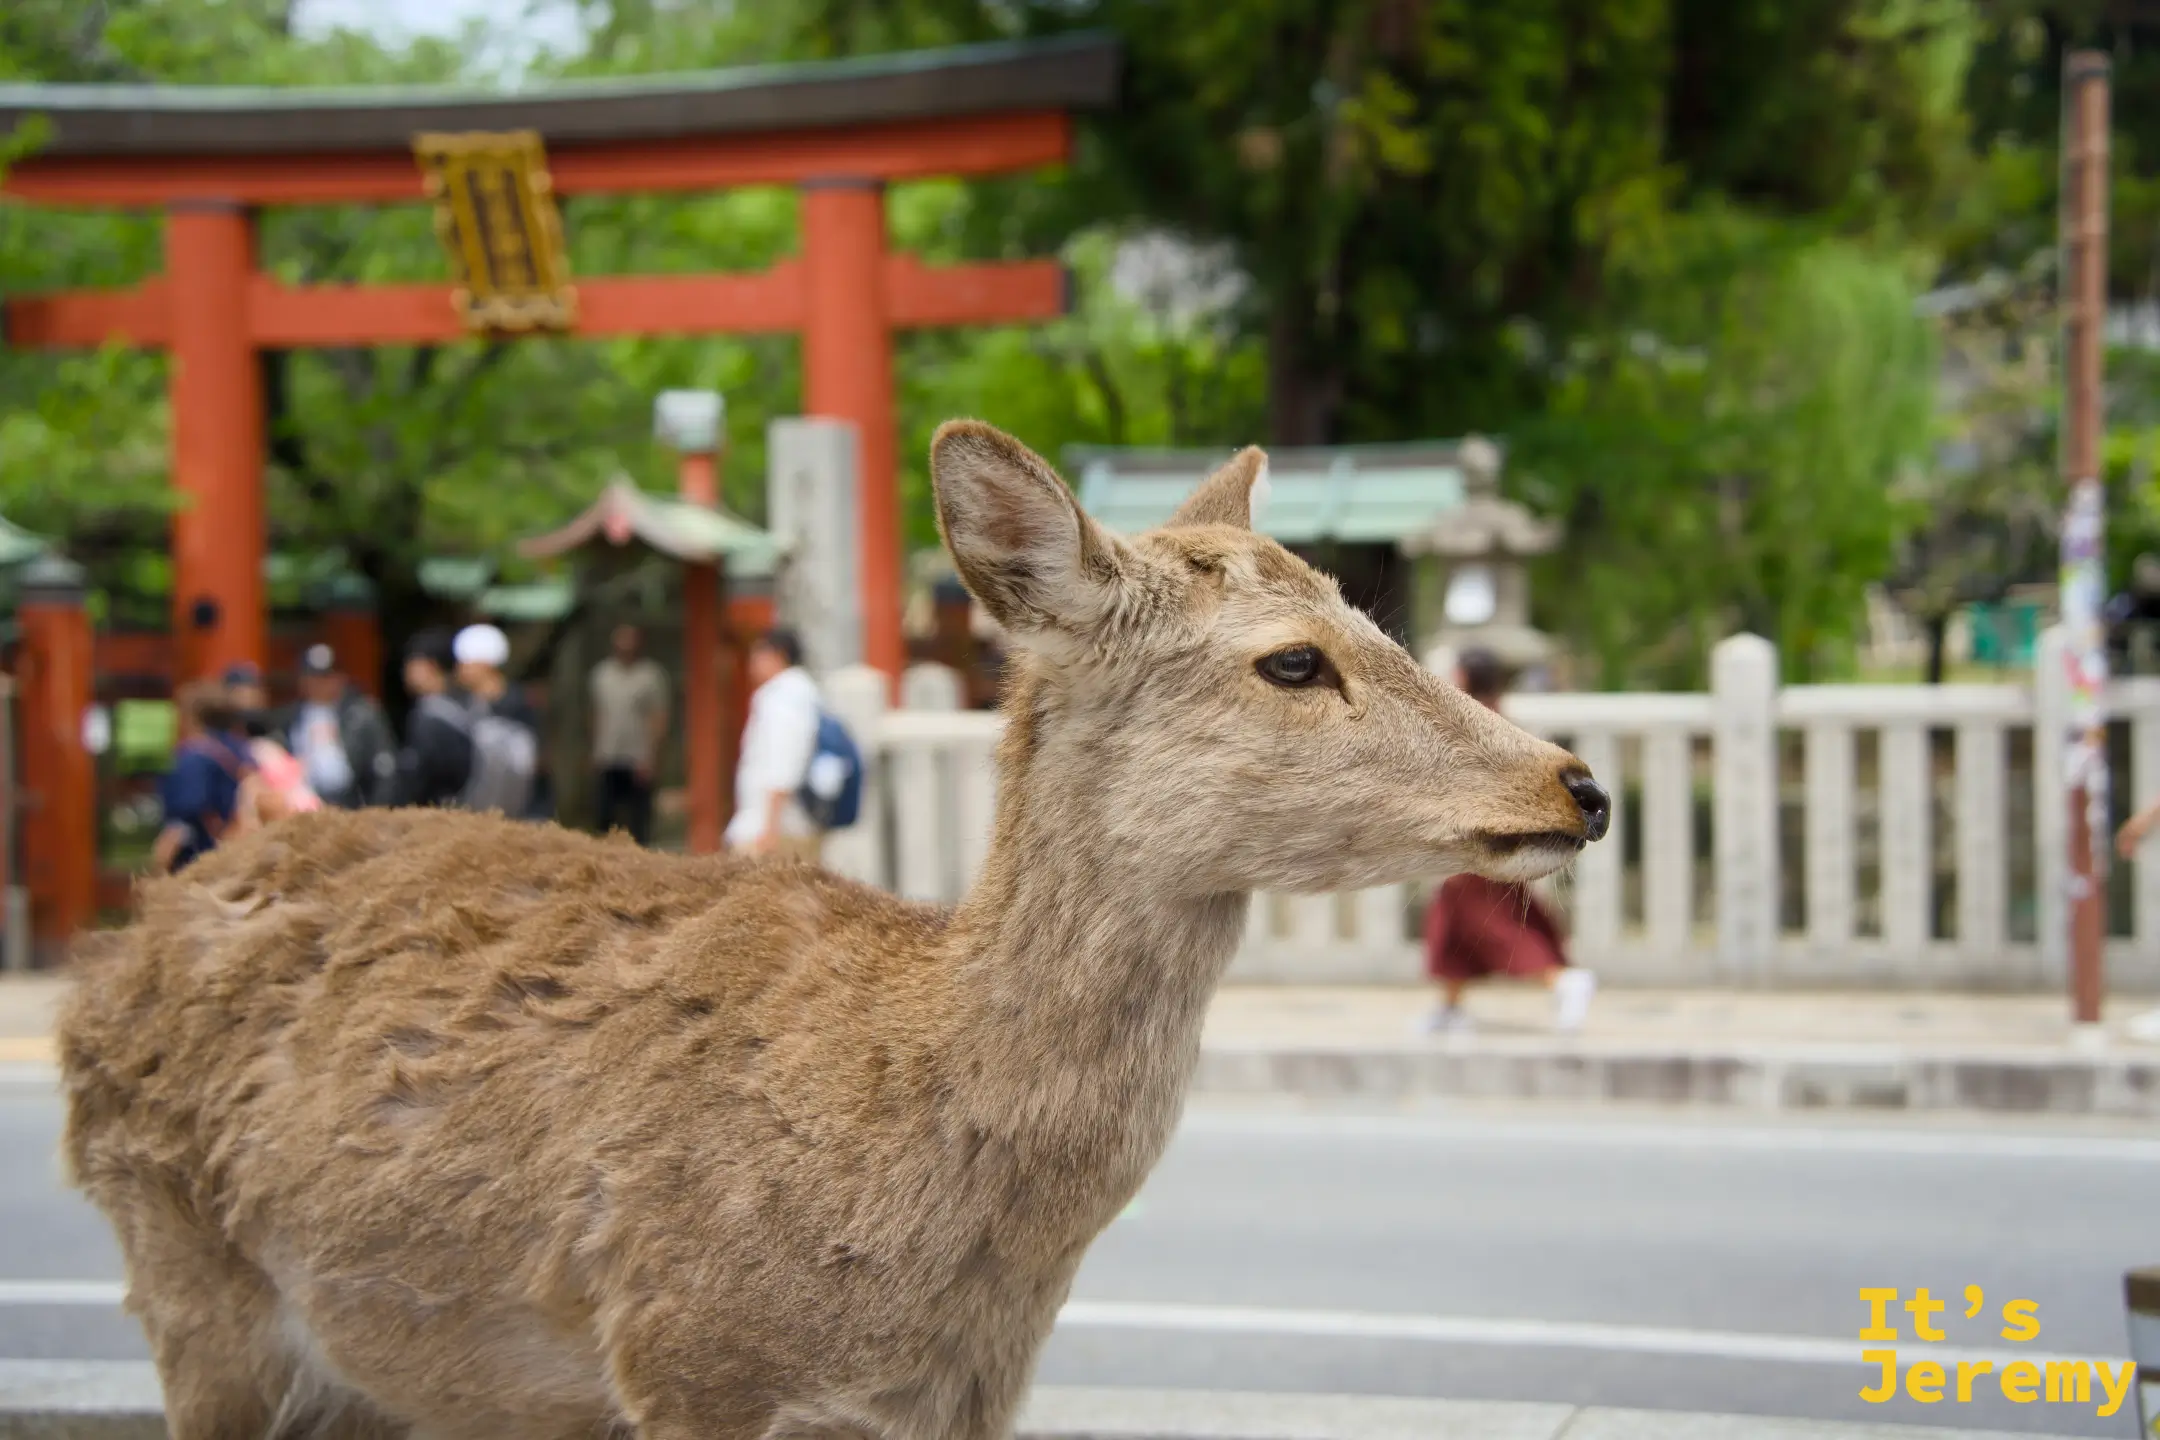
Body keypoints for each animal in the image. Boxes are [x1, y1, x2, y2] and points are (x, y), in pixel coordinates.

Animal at [58, 420, 1609, 1440]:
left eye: (1374, 617)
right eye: (1292, 661)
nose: (1577, 783)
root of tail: (104, 967)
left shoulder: (953, 1408)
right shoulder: (688, 1356)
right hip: (186, 1277)